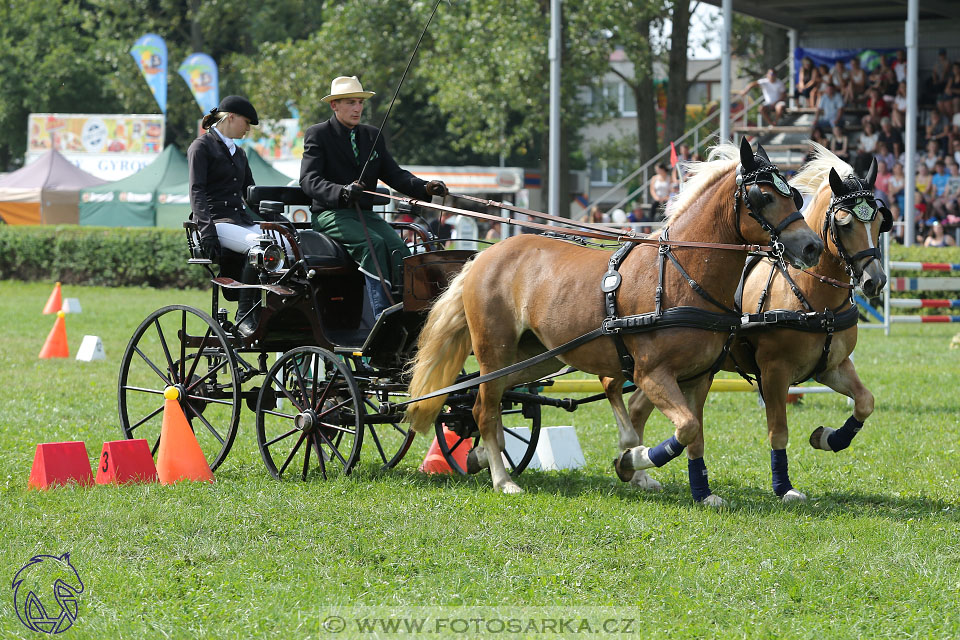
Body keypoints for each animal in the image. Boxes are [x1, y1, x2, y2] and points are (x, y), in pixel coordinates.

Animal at [404, 139, 824, 500]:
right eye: (764, 196)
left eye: (794, 194)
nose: (812, 246)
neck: (681, 272)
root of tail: (486, 255)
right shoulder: (651, 374)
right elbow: (685, 428)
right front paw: (630, 460)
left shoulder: (700, 377)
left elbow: (695, 434)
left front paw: (702, 492)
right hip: (495, 349)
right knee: (486, 408)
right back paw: (503, 479)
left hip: (537, 356)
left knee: (485, 399)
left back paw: (478, 457)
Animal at [616, 145, 892, 500]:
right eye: (844, 223)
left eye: (881, 222)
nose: (875, 281)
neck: (813, 296)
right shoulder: (774, 372)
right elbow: (778, 431)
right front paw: (784, 486)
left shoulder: (832, 366)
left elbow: (865, 402)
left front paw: (829, 438)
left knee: (638, 406)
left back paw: (636, 470)